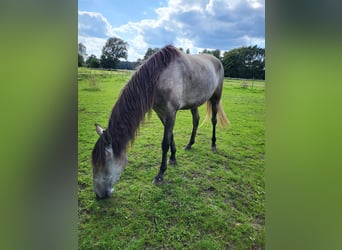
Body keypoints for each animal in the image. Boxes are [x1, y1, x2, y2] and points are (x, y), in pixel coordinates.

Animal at [91, 45, 230, 199]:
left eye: (104, 161)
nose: (99, 194)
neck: (159, 77)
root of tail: (217, 60)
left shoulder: (171, 112)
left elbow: (165, 143)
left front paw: (160, 174)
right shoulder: (162, 113)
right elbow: (171, 137)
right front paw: (173, 158)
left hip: (216, 98)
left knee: (214, 120)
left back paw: (213, 145)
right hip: (194, 103)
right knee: (196, 120)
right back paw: (189, 144)